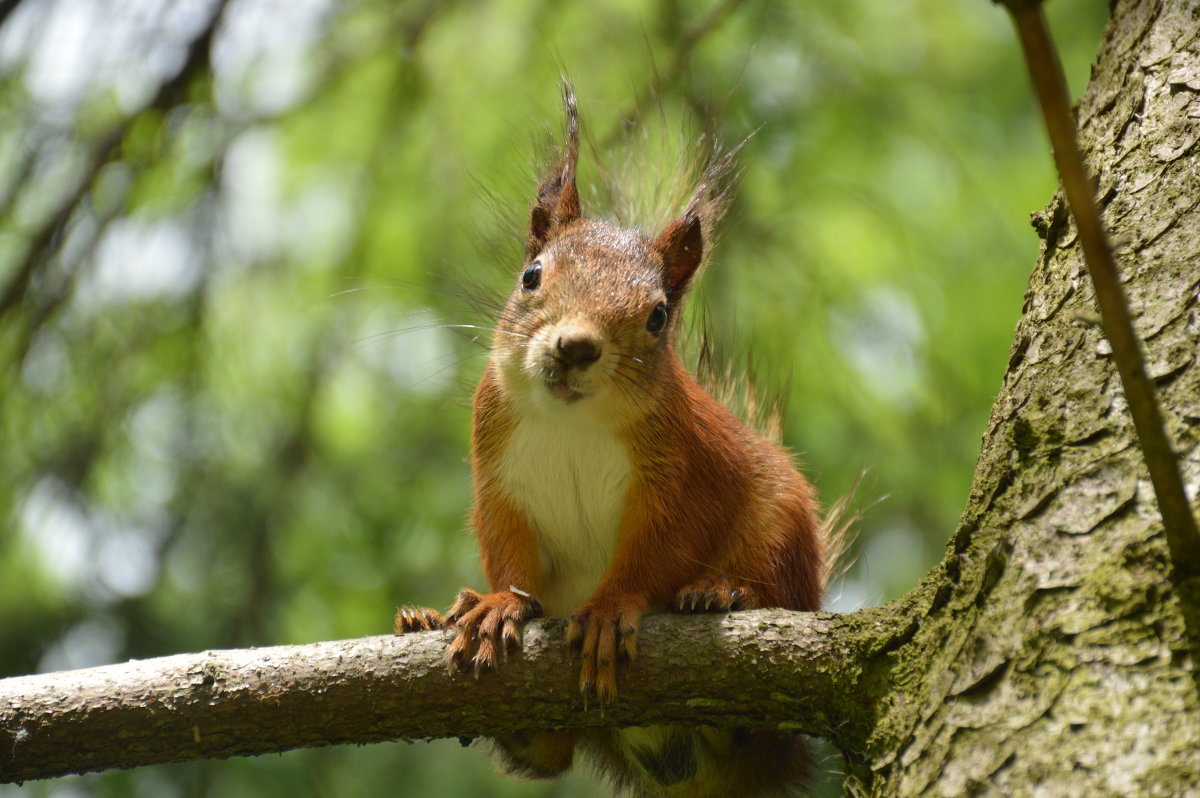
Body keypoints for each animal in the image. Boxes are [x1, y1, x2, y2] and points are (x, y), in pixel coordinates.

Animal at [398, 87, 830, 796]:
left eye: (657, 316)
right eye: (530, 275)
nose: (575, 347)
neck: (573, 424)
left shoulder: (682, 474)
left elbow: (658, 550)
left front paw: (608, 609)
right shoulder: (497, 475)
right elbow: (508, 548)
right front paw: (497, 603)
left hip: (782, 525)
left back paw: (722, 595)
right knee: (547, 753)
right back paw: (427, 621)